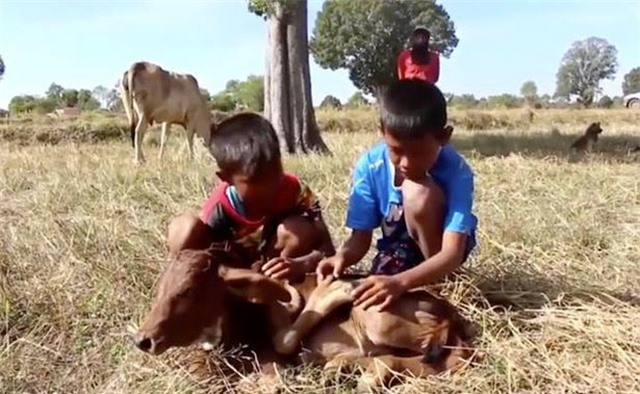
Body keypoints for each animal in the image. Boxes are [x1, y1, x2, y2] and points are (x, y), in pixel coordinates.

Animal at [134, 248, 476, 390]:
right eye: (161, 288)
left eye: (188, 291)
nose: (143, 339)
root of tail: (449, 310)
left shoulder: (274, 351)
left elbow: (283, 345)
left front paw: (332, 289)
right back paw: (342, 369)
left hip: (375, 316)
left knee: (456, 356)